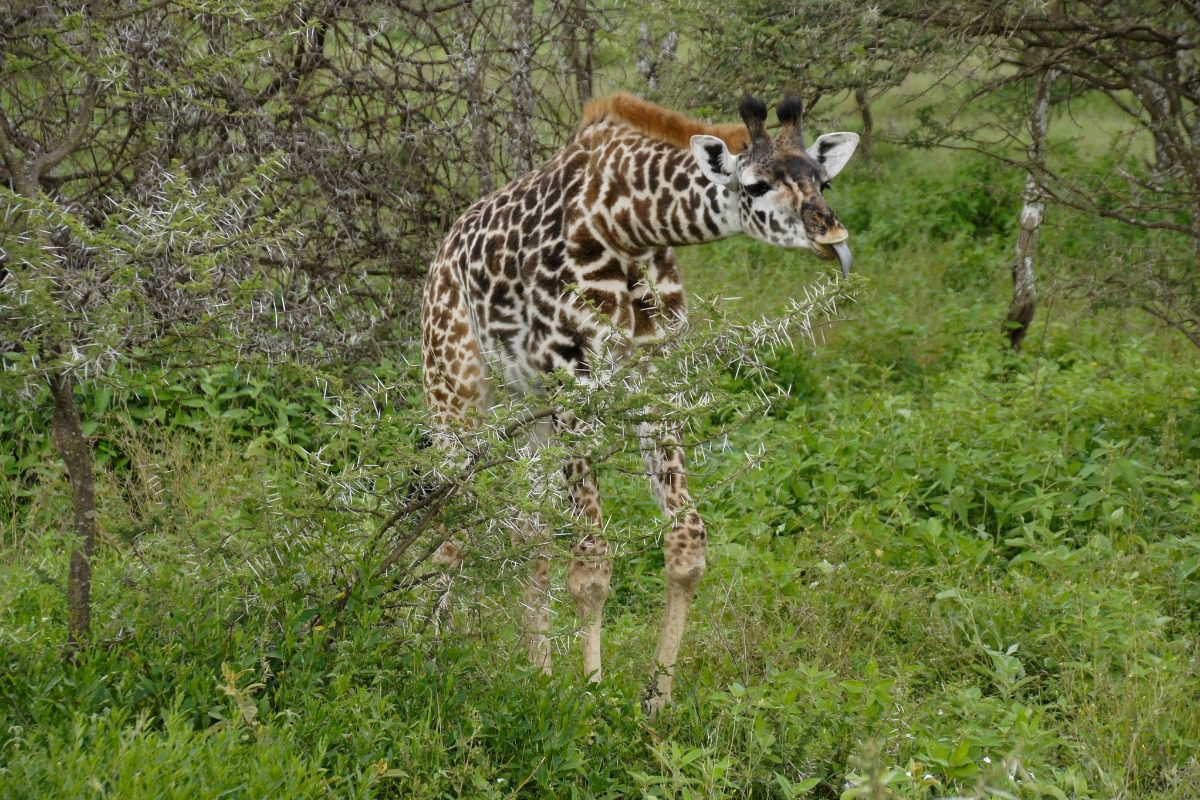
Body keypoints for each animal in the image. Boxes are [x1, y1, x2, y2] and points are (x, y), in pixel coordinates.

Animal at [420, 93, 858, 713]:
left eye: (823, 181)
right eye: (754, 185)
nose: (833, 236)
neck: (628, 226)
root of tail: (441, 252)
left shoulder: (660, 380)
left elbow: (687, 541)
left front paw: (656, 699)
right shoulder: (574, 381)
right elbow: (593, 561)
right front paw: (592, 694)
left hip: (527, 407)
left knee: (529, 532)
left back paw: (537, 676)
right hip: (455, 389)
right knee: (449, 526)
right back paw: (432, 652)